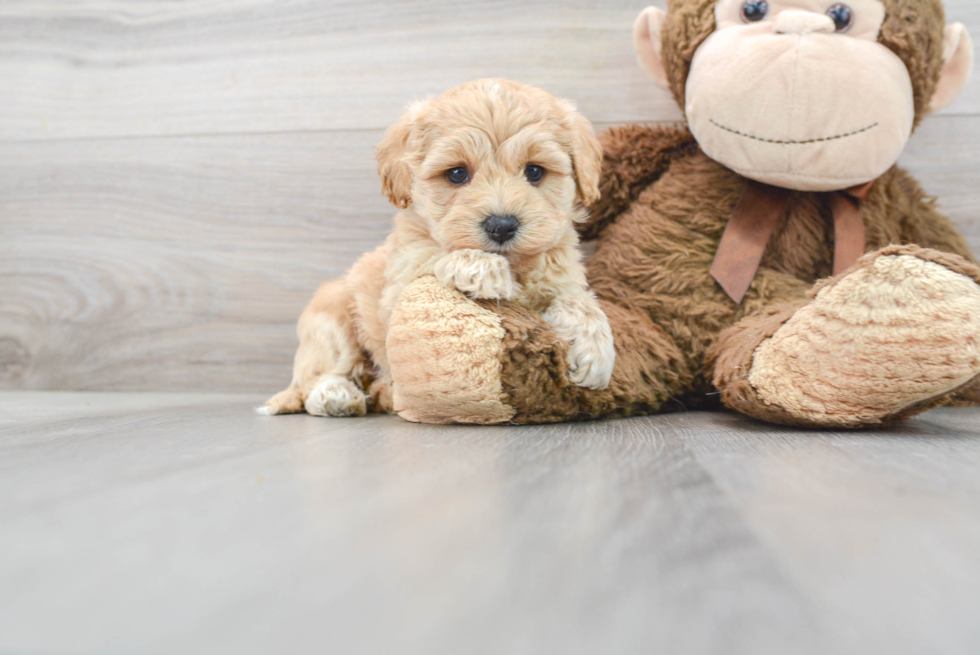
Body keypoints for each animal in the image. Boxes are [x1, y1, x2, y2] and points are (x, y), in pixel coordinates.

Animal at [260, 79, 612, 418]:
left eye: (535, 171)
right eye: (457, 173)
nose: (501, 226)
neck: (517, 265)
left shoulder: (563, 277)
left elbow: (580, 301)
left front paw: (596, 350)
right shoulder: (399, 286)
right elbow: (433, 255)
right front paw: (481, 267)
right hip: (331, 317)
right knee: (320, 376)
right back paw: (337, 395)